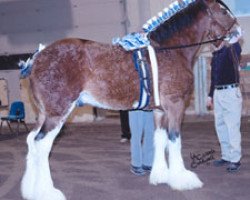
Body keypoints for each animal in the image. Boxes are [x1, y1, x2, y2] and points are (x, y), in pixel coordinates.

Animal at [21, 0, 240, 200]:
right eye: (223, 11)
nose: (238, 32)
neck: (170, 50)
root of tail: (38, 57)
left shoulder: (160, 110)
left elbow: (159, 139)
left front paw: (160, 175)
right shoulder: (176, 105)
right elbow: (174, 139)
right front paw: (182, 179)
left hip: (44, 113)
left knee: (31, 140)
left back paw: (31, 190)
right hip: (58, 112)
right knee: (42, 144)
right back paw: (47, 192)